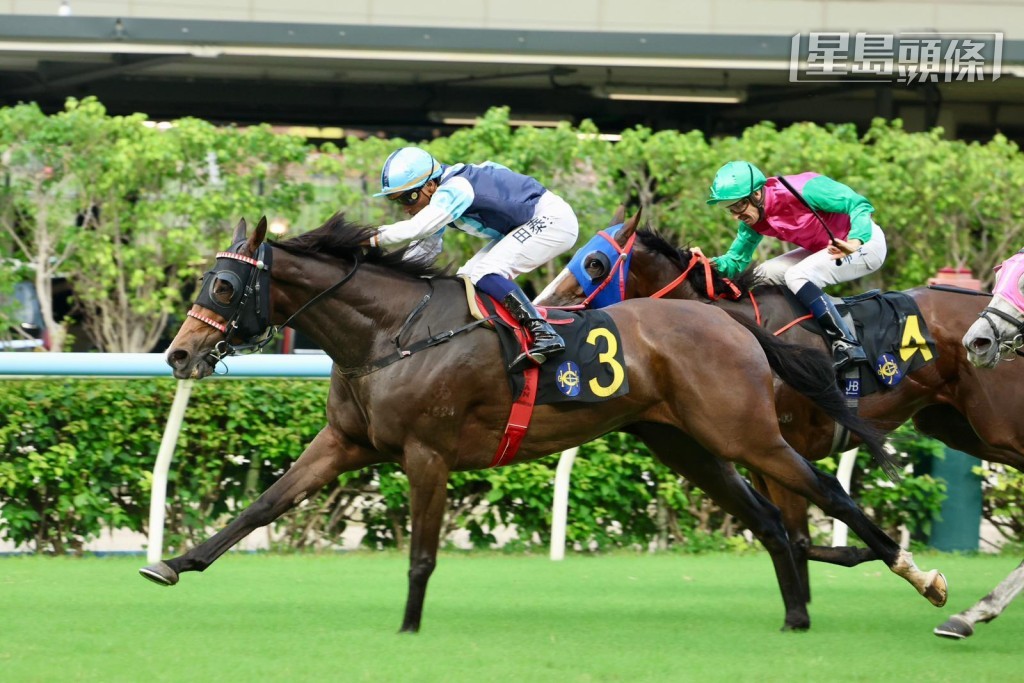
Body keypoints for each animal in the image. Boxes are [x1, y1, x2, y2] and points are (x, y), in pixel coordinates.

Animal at [138, 214, 947, 634]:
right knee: (775, 522)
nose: (179, 353)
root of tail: (734, 324)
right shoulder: (345, 442)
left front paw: (408, 628)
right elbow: (261, 505)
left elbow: (421, 554)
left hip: (749, 433)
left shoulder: (426, 454)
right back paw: (796, 617)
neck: (391, 333)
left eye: (224, 285)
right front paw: (172, 562)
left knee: (824, 494)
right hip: (688, 443)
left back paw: (922, 576)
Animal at [535, 209, 1022, 639]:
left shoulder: (778, 446)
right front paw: (806, 600)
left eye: (594, 263)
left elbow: (800, 534)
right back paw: (972, 614)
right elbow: (791, 534)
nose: (539, 308)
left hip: (996, 425)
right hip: (958, 427)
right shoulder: (761, 456)